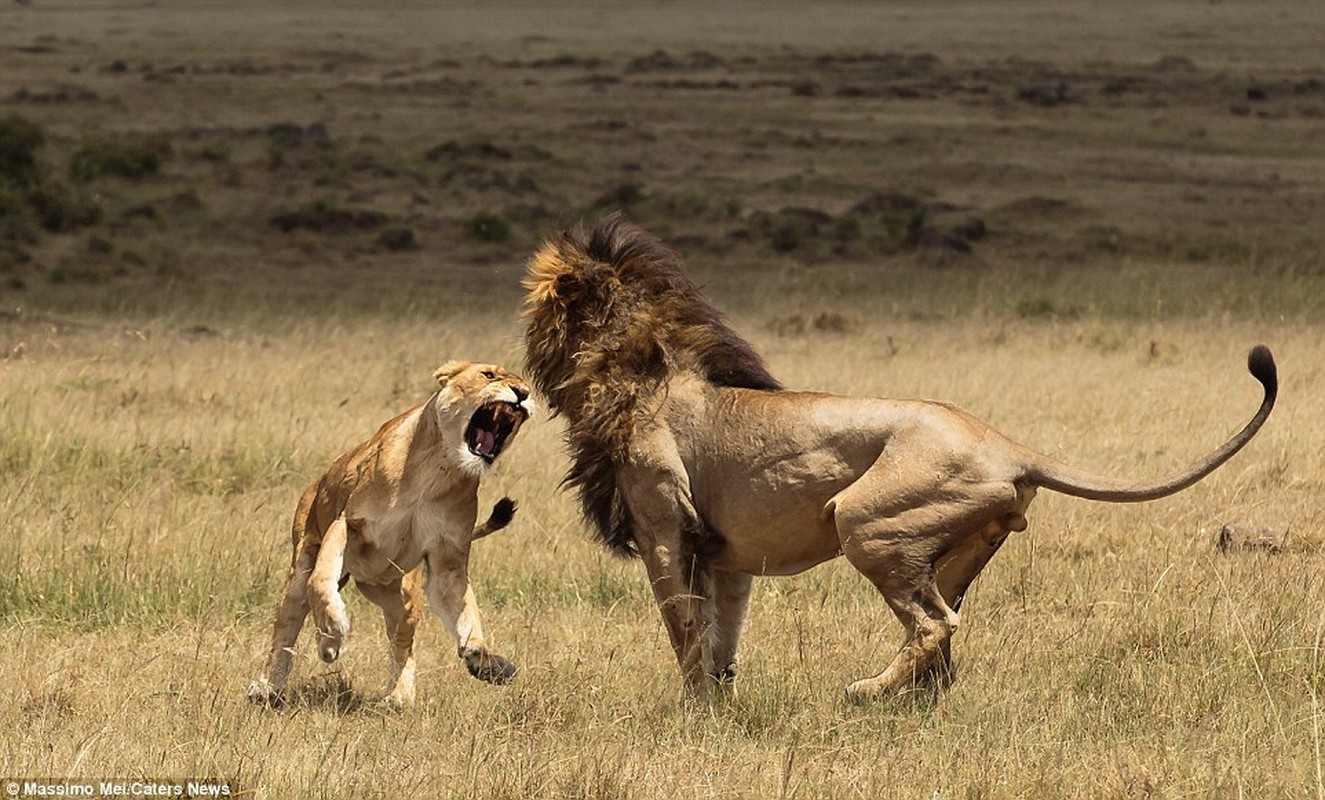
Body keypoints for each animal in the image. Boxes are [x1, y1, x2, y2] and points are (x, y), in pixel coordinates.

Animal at [250, 362, 530, 704]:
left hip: (399, 592)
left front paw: (484, 659)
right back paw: (266, 687)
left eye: (526, 385)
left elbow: (466, 613)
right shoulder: (348, 523)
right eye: (489, 375)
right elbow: (320, 581)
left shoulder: (447, 561)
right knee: (287, 625)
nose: (523, 394)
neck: (438, 469)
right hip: (299, 569)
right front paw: (331, 637)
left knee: (403, 641)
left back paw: (398, 696)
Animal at [522, 215, 1277, 704]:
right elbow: (721, 635)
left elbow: (682, 626)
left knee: (935, 624)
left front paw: (691, 715)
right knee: (941, 639)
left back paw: (863, 692)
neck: (633, 369)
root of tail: (1009, 446)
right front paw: (719, 705)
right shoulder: (725, 553)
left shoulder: (663, 526)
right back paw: (912, 702)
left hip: (867, 521)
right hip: (953, 544)